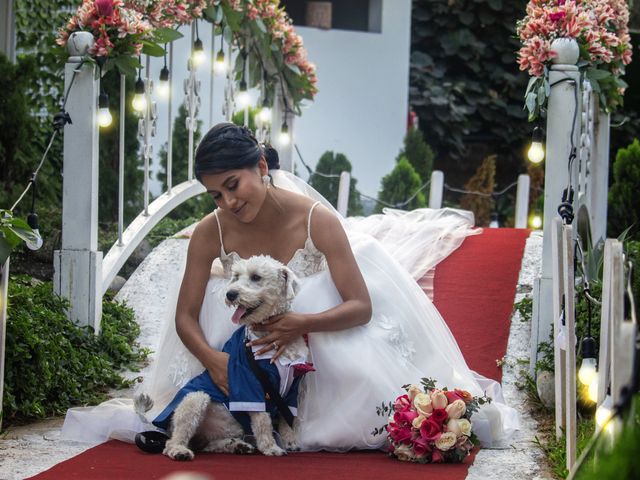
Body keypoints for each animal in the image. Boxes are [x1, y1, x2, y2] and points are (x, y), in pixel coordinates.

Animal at [134, 256, 308, 460]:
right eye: (236, 276)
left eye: (256, 277)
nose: (230, 294)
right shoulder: (249, 385)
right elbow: (263, 421)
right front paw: (270, 447)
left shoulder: (292, 388)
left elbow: (287, 417)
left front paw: (291, 441)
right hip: (195, 399)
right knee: (174, 440)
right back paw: (179, 450)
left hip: (228, 428)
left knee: (207, 445)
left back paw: (237, 446)